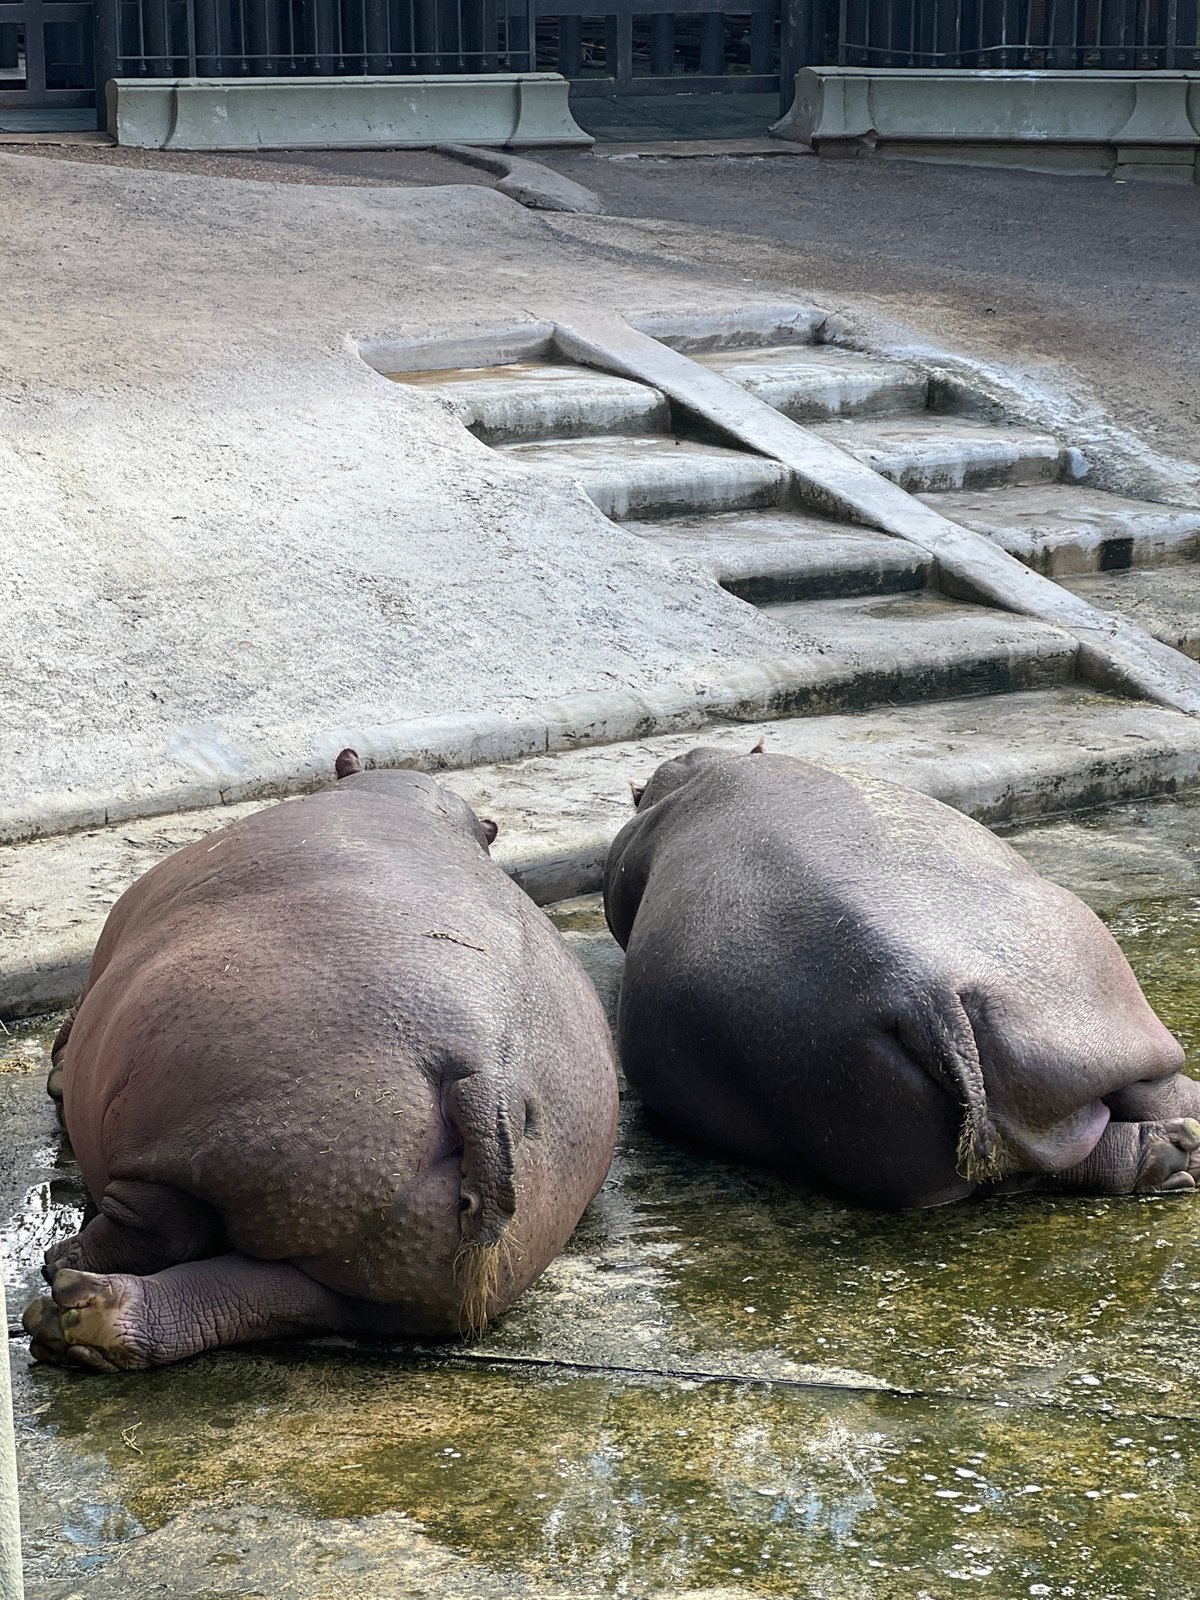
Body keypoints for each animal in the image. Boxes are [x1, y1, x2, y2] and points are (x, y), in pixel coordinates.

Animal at [24, 751, 619, 1372]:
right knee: (252, 1297)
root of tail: (487, 1081)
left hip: (191, 1133)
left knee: (162, 1228)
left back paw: (62, 1266)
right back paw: (77, 1315)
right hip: (380, 1279)